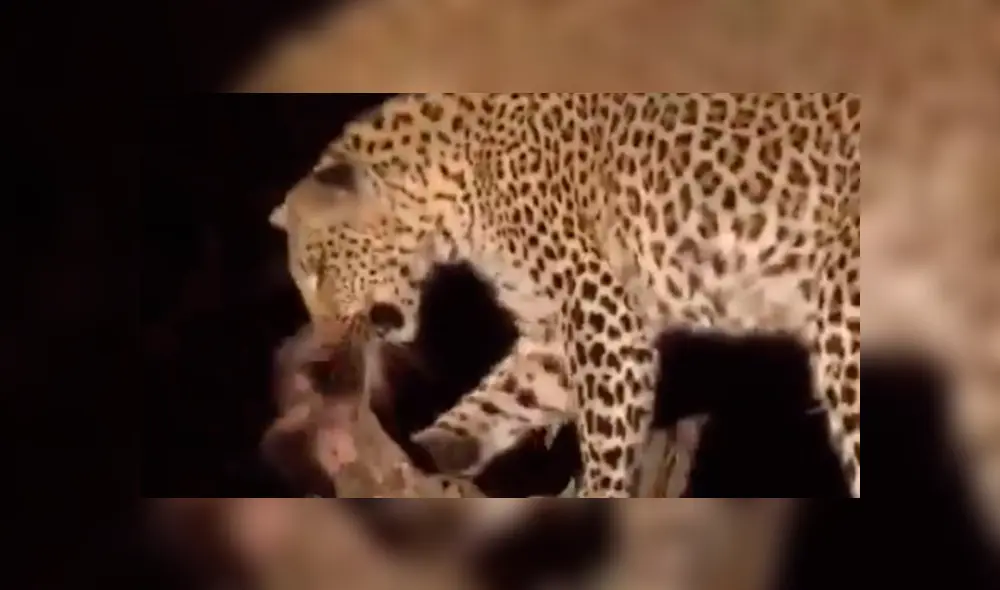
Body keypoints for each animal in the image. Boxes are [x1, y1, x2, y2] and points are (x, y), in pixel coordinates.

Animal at [269, 93, 860, 498]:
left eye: (318, 269)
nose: (325, 340)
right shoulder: (553, 331)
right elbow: (508, 393)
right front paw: (434, 448)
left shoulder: (604, 316)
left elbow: (602, 435)